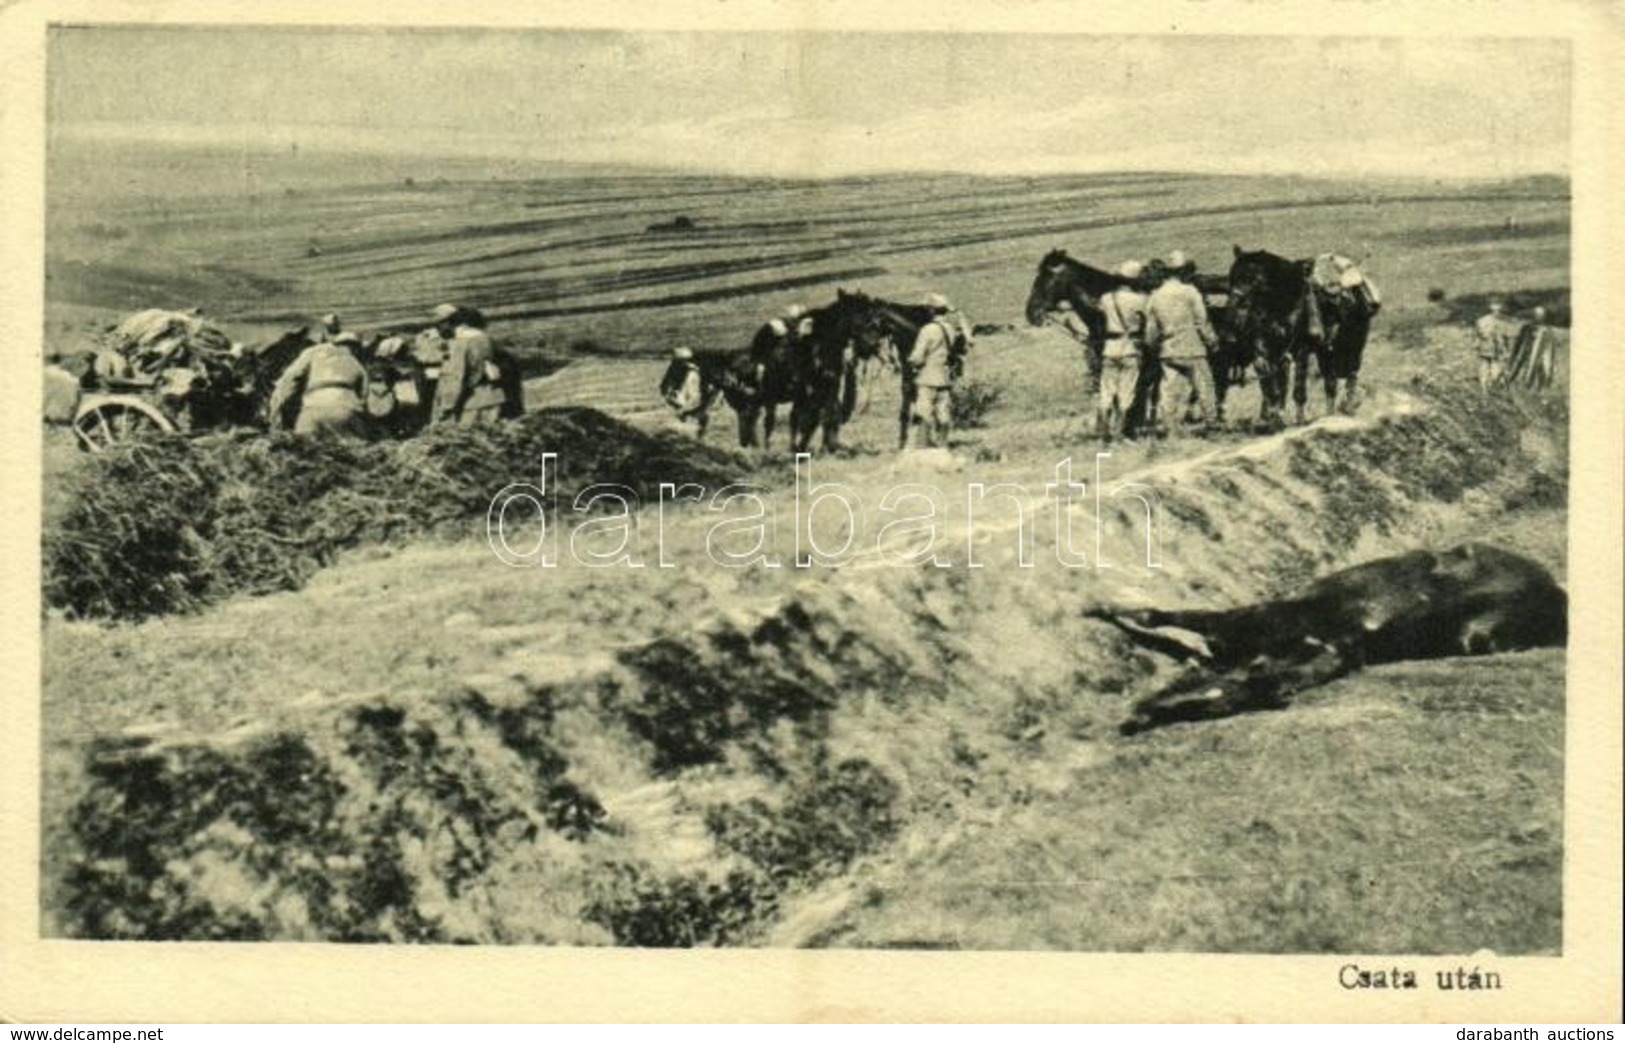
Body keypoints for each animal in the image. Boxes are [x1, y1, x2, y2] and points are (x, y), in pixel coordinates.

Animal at [1092, 539, 1560, 734]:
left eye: (1217, 704)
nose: (1134, 719)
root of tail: (1557, 590)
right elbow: (1165, 615)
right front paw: (1101, 608)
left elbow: (1164, 615)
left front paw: (1102, 608)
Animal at [1222, 245, 1378, 425]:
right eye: (1232, 277)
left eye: (1252, 280)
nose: (1231, 308)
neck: (1284, 304)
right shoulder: (1270, 350)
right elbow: (1274, 386)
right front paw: (1274, 417)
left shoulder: (1301, 351)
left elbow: (1298, 390)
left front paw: (1299, 420)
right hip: (1326, 352)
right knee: (1330, 383)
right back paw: (1330, 415)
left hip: (1353, 345)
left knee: (1351, 374)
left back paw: (1346, 408)